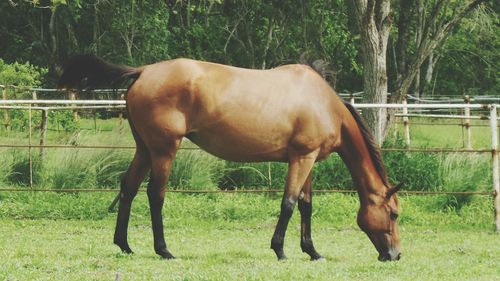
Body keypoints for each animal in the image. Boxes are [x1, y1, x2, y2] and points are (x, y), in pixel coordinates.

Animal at [59, 54, 402, 260]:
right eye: (395, 214)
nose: (395, 254)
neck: (324, 103)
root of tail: (143, 71)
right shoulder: (302, 158)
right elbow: (289, 203)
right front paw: (279, 250)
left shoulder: (308, 159)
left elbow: (305, 205)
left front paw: (312, 251)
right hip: (164, 150)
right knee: (155, 194)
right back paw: (164, 250)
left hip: (144, 149)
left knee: (128, 188)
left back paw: (125, 245)